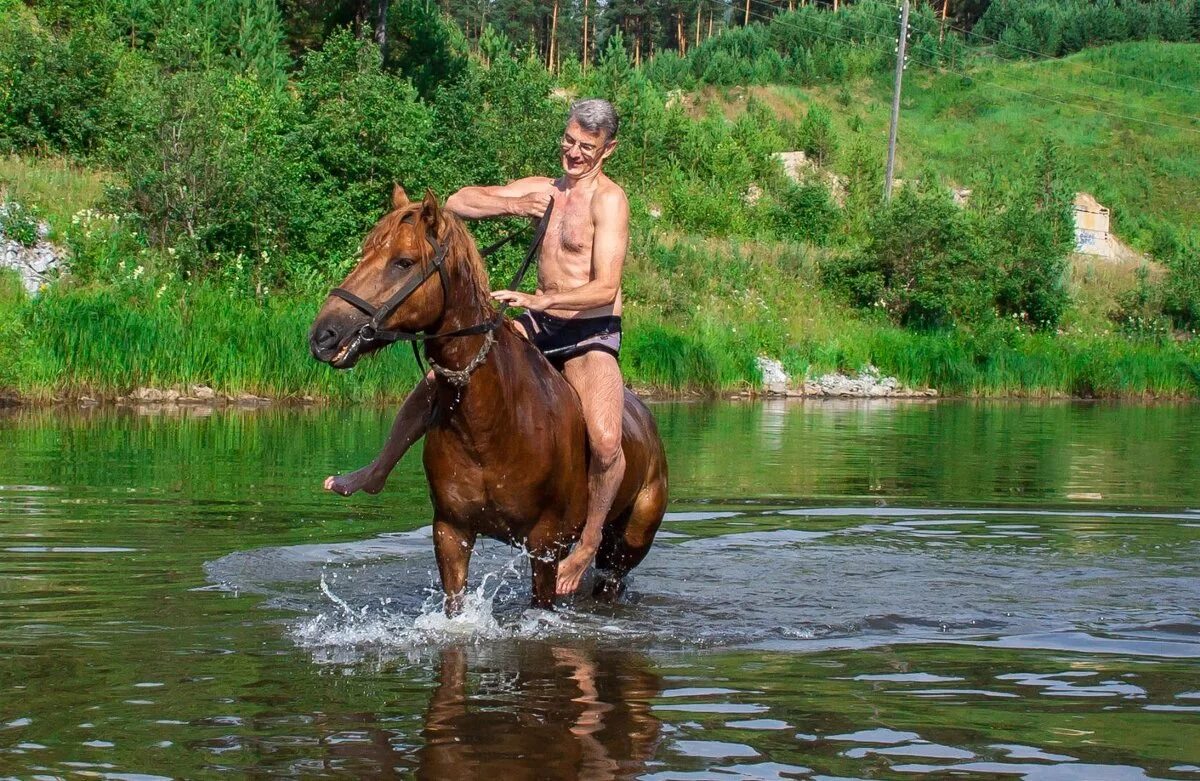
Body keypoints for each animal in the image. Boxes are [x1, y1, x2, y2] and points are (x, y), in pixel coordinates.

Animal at [307, 188, 667, 611]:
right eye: (364, 253)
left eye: (403, 262)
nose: (324, 335)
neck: (490, 423)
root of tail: (645, 417)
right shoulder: (451, 530)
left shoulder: (546, 544)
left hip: (626, 544)